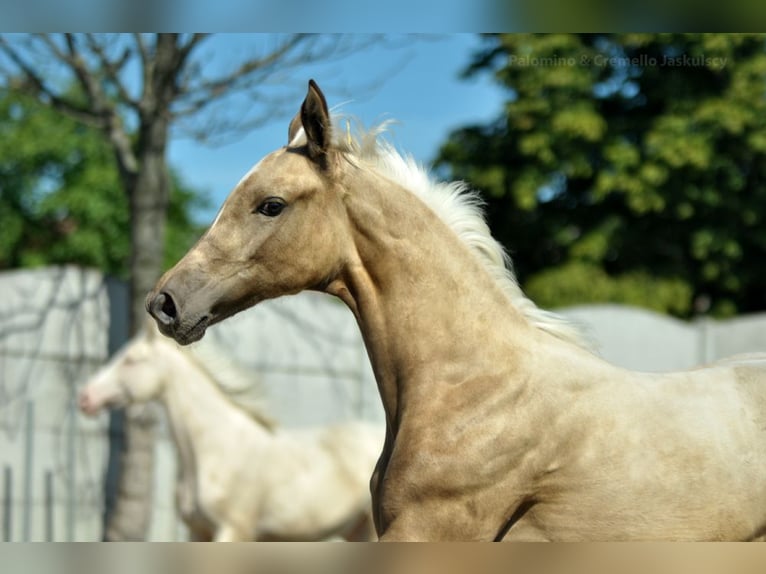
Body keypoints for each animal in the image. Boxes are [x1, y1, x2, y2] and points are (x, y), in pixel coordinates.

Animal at [78, 324, 384, 544]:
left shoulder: (234, 529)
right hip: (357, 531)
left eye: (131, 360)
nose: (86, 397)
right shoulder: (198, 531)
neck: (215, 448)